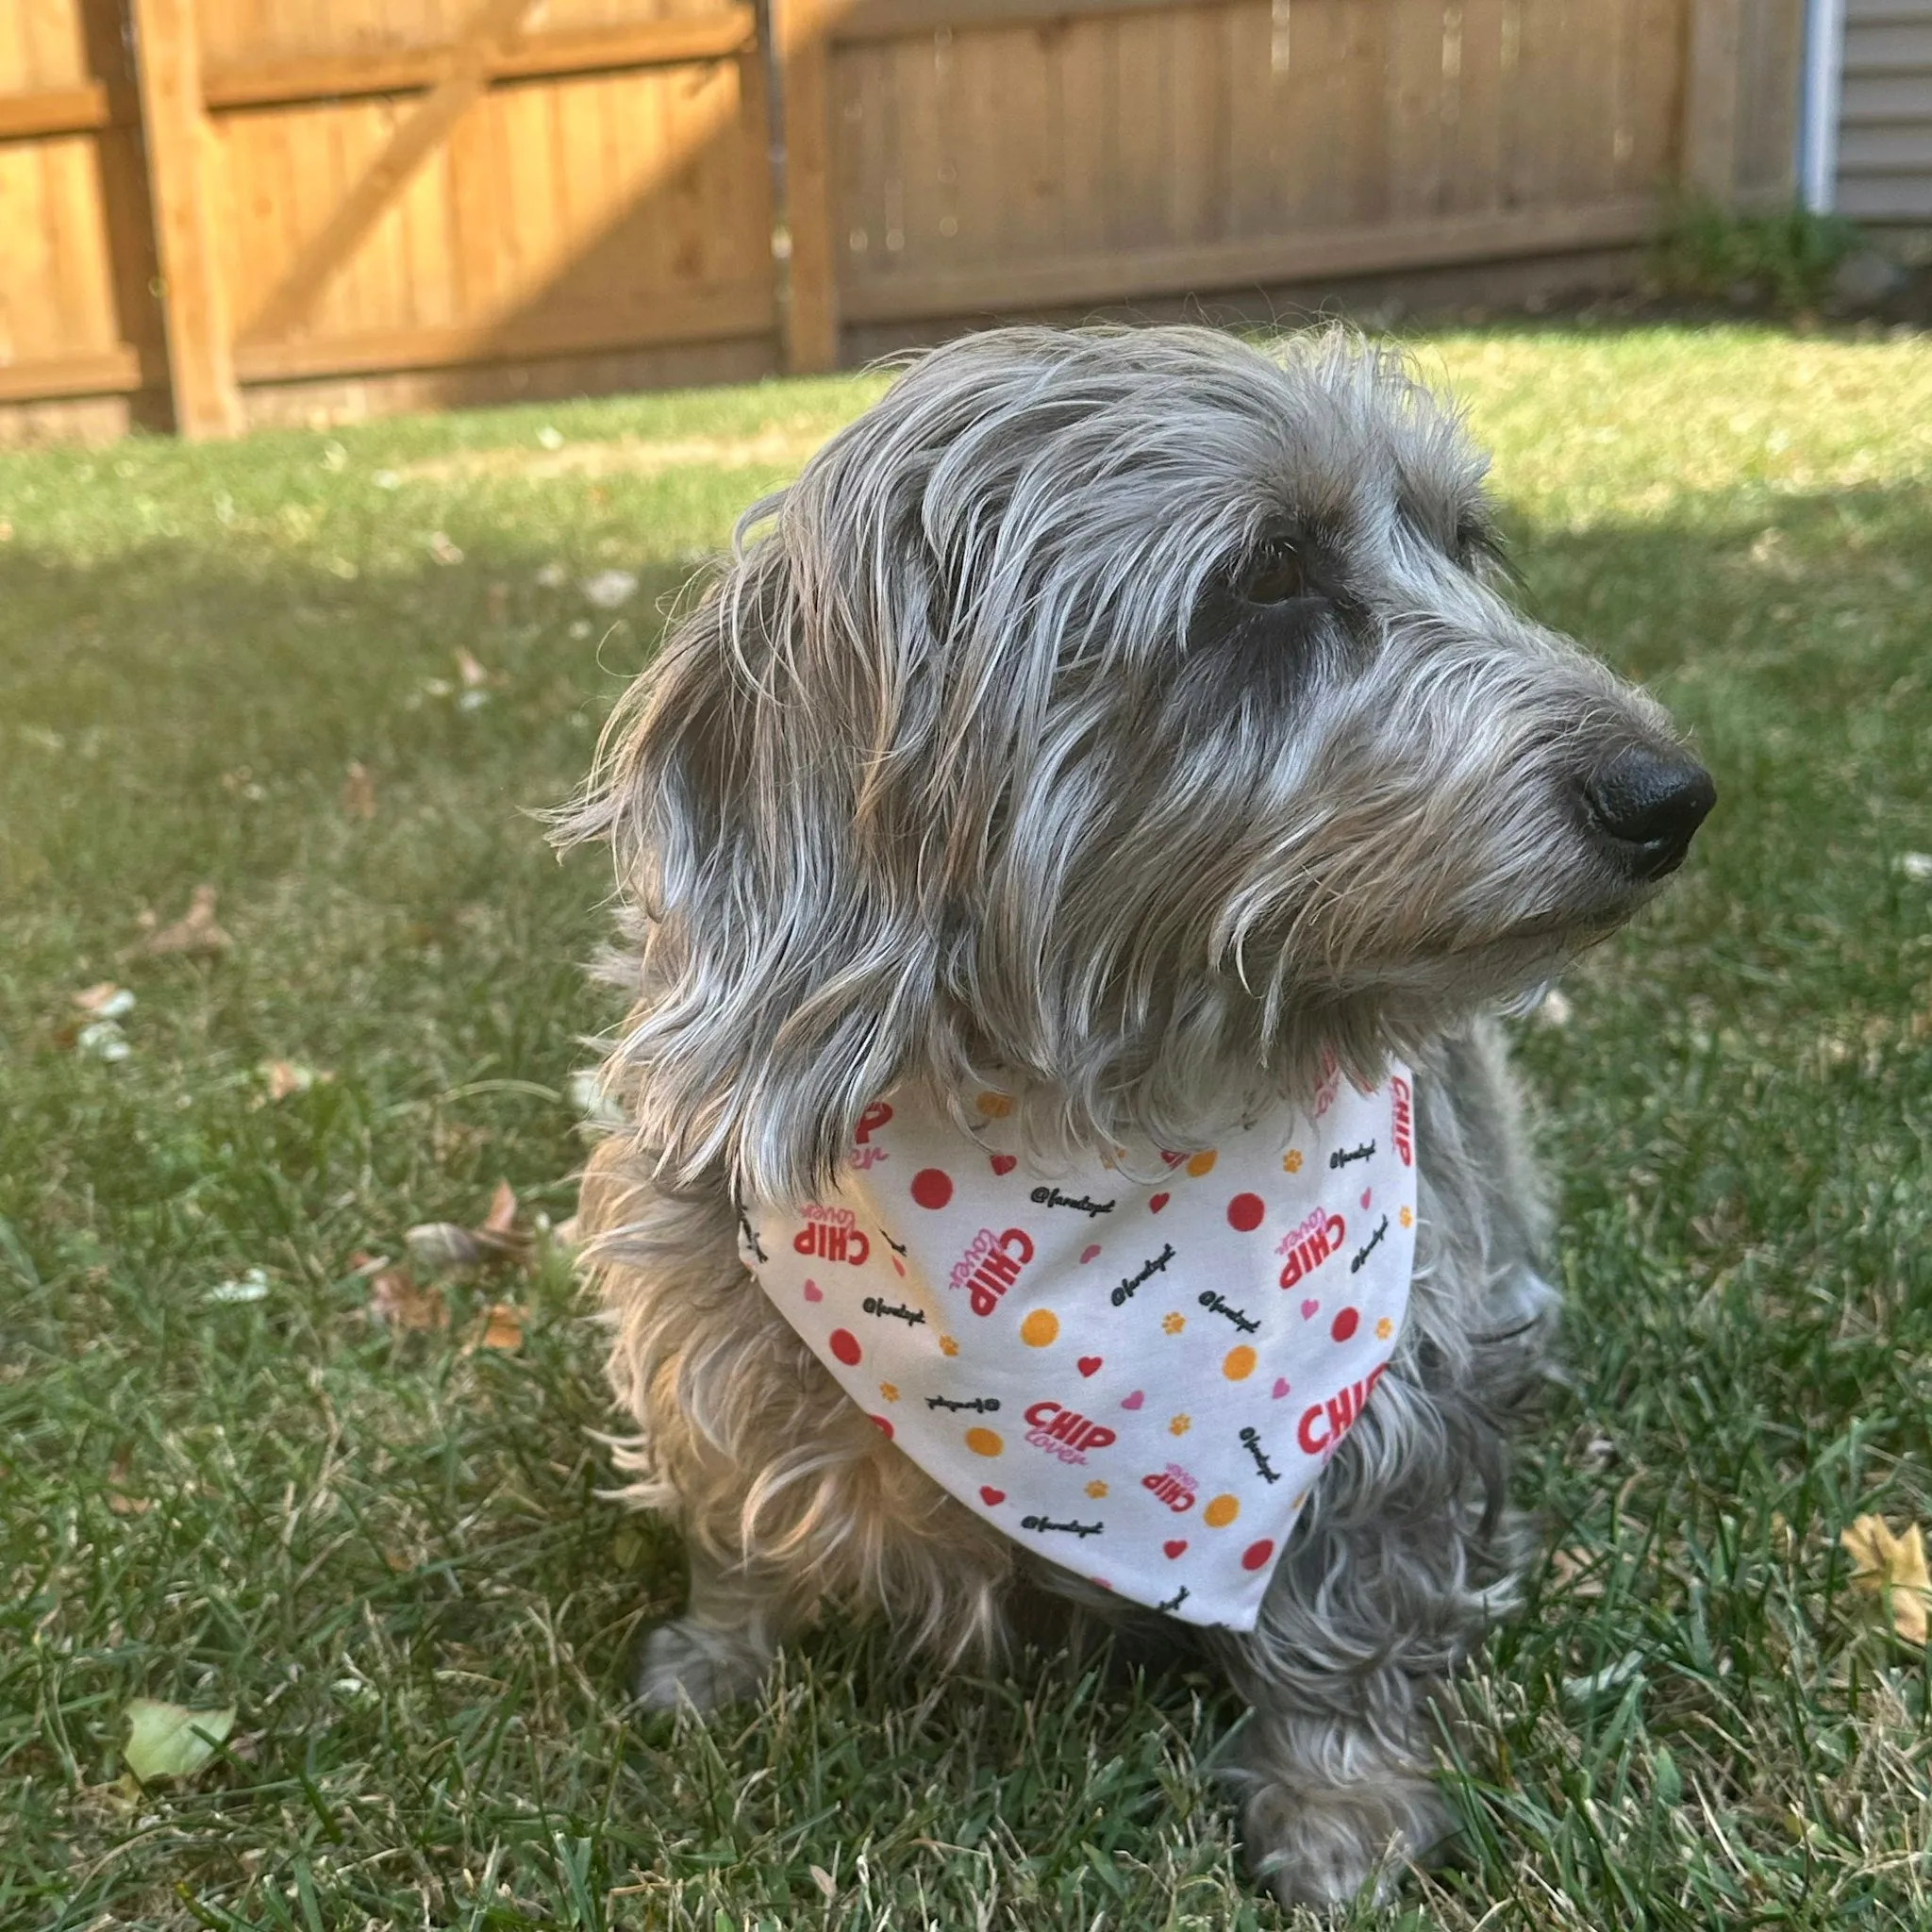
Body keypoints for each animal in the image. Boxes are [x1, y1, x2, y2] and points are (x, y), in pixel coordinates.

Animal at [564, 325, 1715, 1908]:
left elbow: (1351, 1601)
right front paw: (718, 1657)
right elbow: (733, 1514)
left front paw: (1338, 1804)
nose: (1671, 794)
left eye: (1464, 542)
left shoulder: (1403, 1376)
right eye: (1268, 578)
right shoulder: (705, 1316)